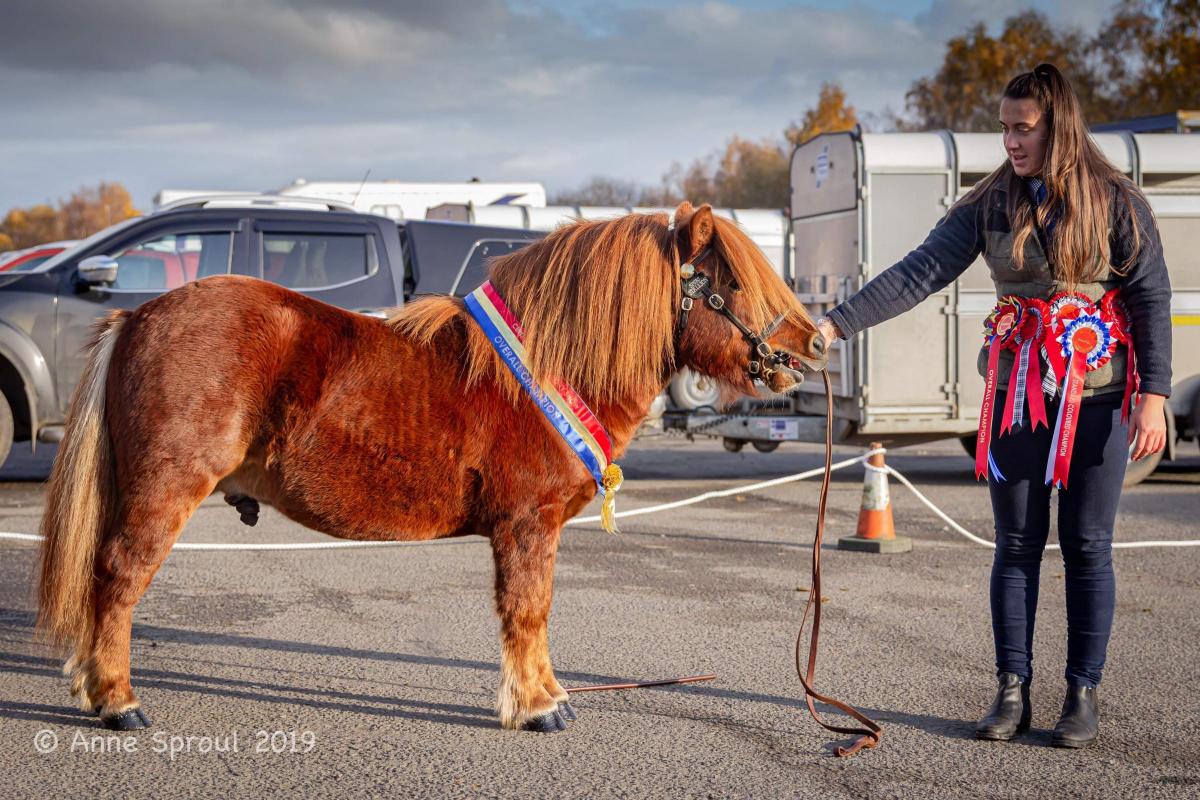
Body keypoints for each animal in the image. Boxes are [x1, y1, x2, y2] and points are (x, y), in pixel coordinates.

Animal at [37, 201, 825, 734]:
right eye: (733, 283)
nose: (815, 344)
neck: (544, 368)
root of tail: (138, 317)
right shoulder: (526, 526)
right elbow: (528, 611)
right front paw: (536, 707)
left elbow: (535, 614)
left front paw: (549, 696)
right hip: (163, 492)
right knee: (118, 578)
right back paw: (117, 701)